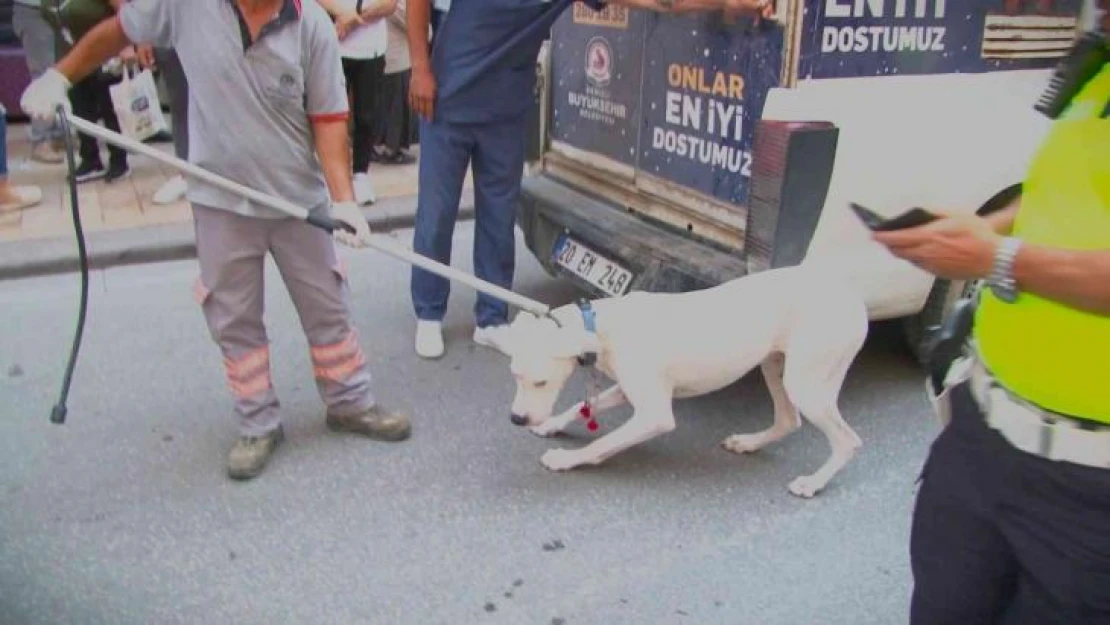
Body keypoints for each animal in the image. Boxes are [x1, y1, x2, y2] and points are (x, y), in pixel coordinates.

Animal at [508, 264, 870, 499]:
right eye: (515, 375)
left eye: (540, 382)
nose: (517, 419)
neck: (598, 325)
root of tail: (853, 297)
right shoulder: (627, 390)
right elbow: (577, 406)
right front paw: (551, 425)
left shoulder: (654, 415)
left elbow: (601, 444)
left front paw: (566, 459)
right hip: (775, 365)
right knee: (787, 419)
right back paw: (748, 443)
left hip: (806, 383)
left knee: (848, 440)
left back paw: (813, 482)